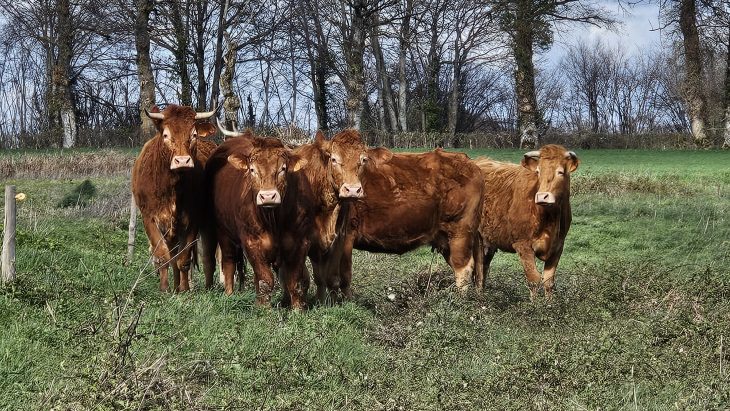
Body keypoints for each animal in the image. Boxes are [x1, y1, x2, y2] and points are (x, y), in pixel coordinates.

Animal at [130, 104, 216, 292]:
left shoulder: (192, 220)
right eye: (166, 135)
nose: (182, 161)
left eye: (193, 135)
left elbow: (183, 259)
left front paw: (184, 289)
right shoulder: (149, 218)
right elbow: (163, 256)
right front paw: (164, 289)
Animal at [312, 148, 484, 302]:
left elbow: (341, 276)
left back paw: (459, 301)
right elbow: (324, 276)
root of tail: (470, 163)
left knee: (464, 268)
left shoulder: (346, 235)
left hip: (459, 232)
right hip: (445, 239)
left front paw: (346, 303)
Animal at [472, 145, 580, 300]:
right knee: (478, 271)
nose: (542, 196)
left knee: (483, 269)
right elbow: (534, 279)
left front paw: (550, 304)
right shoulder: (523, 245)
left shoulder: (558, 247)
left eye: (560, 172)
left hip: (489, 241)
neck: (550, 218)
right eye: (538, 172)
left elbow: (548, 281)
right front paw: (535, 306)